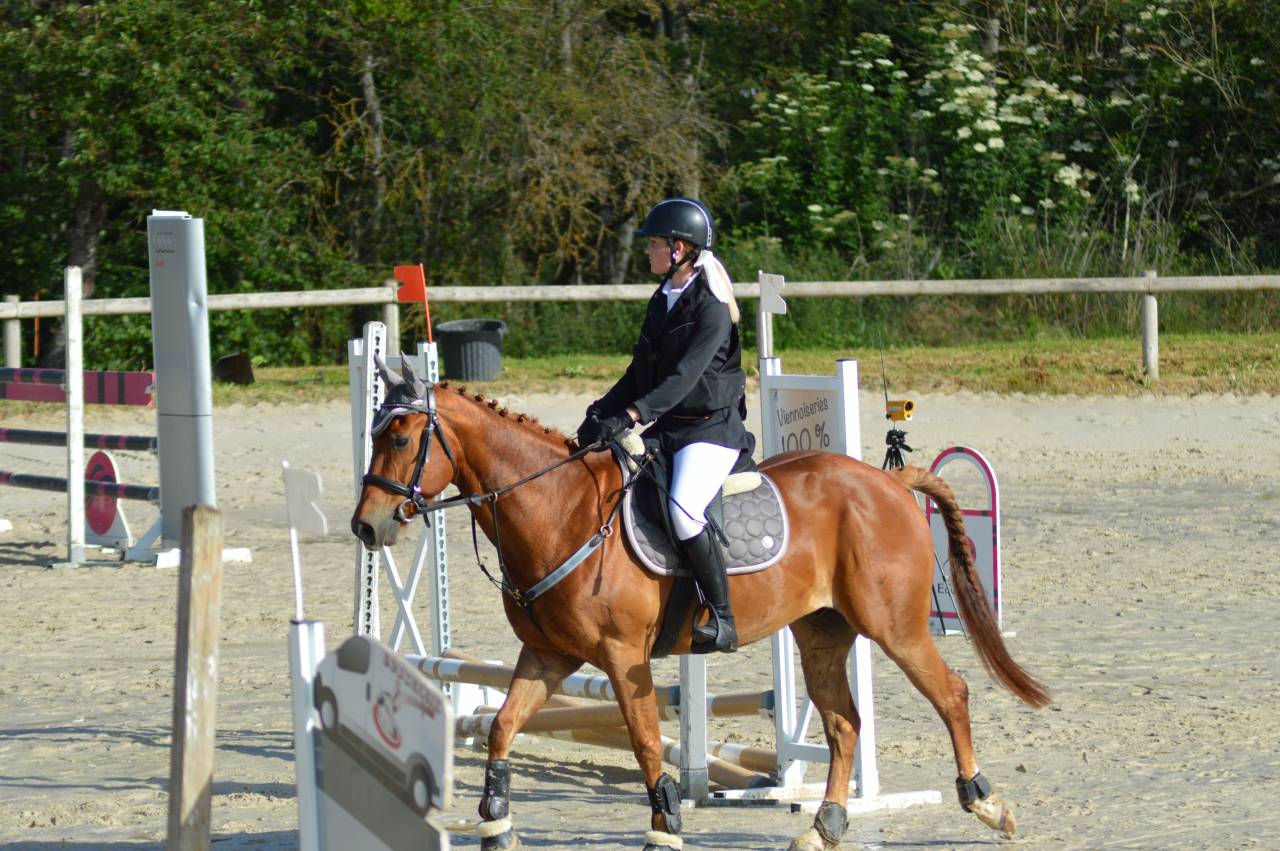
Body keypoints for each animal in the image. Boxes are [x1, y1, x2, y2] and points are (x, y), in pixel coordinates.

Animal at [350, 358, 1049, 851]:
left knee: (951, 692)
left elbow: (645, 744)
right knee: (843, 723)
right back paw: (823, 826)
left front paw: (664, 830)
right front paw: (496, 824)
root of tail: (889, 481)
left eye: (403, 438)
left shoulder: (623, 658)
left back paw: (986, 803)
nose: (366, 526)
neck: (558, 510)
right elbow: (501, 728)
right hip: (822, 631)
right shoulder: (548, 655)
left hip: (893, 626)